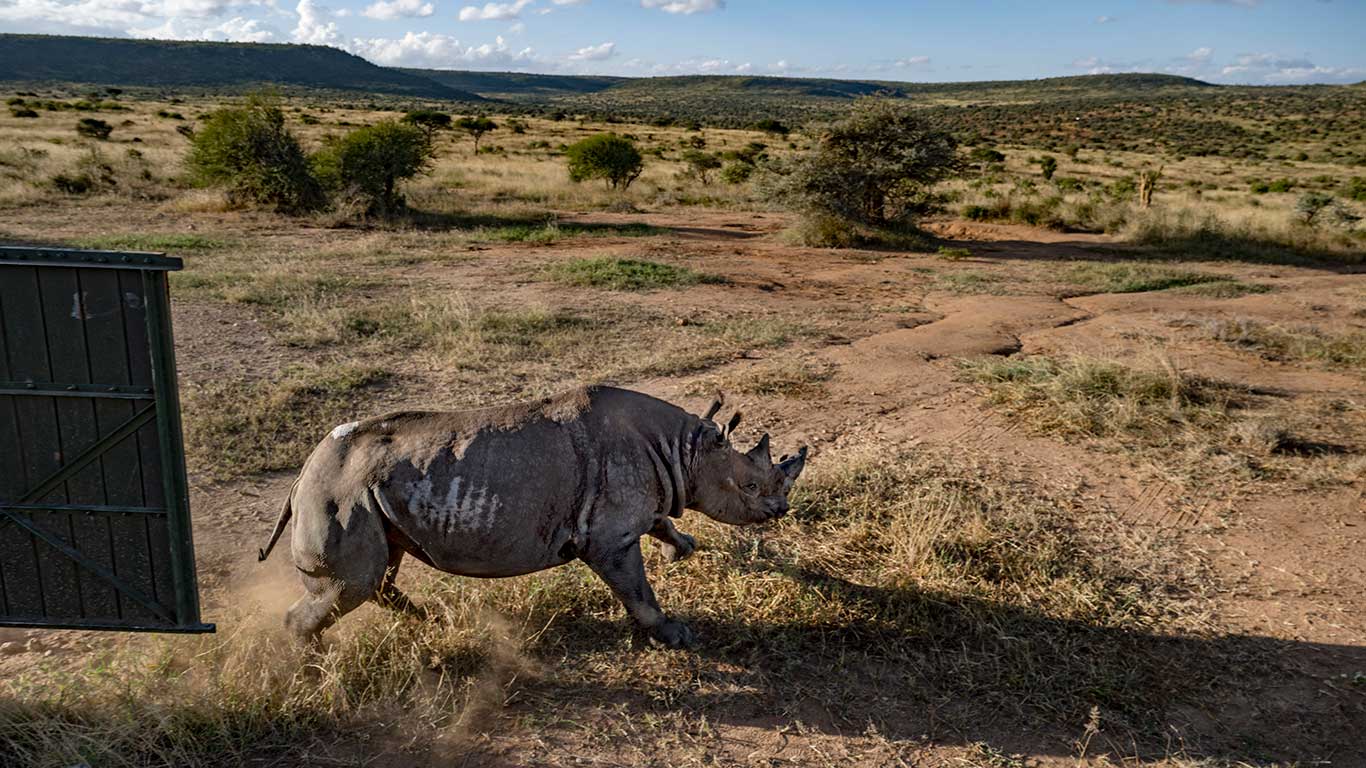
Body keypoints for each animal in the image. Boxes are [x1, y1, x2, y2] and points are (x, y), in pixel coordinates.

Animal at [257, 385, 807, 648]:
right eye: (751, 487)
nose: (781, 510)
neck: (684, 451)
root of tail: (302, 476)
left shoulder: (640, 507)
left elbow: (663, 523)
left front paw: (685, 549)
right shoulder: (608, 539)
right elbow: (638, 591)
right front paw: (676, 636)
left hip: (369, 498)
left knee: (377, 574)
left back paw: (435, 621)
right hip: (340, 495)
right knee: (352, 585)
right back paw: (314, 667)